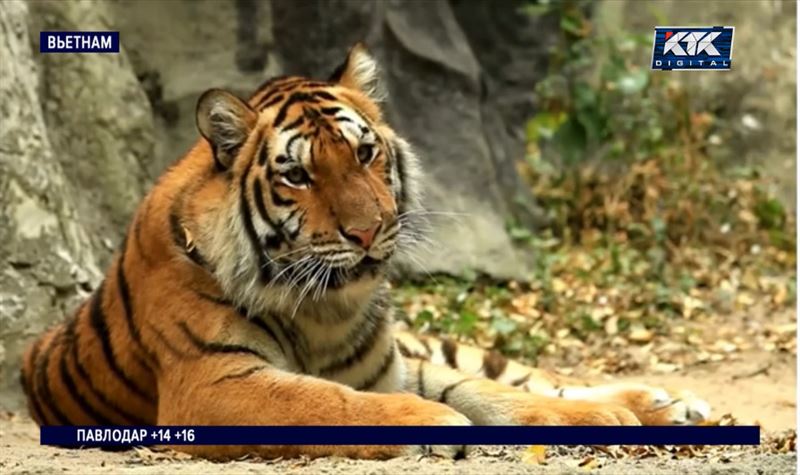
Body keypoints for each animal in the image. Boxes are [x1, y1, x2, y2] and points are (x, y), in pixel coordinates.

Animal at [18, 43, 708, 462]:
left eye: (365, 153)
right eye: (298, 175)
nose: (371, 230)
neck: (324, 310)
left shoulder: (394, 366)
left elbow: (495, 393)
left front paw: (606, 417)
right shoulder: (212, 387)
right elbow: (325, 401)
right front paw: (434, 424)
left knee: (530, 374)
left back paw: (663, 403)